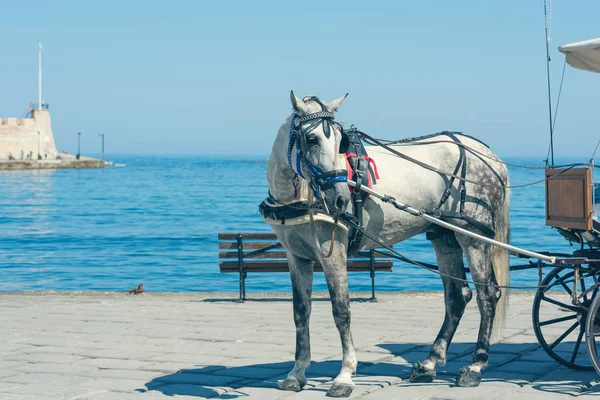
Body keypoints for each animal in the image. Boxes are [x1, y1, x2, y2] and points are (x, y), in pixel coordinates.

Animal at [262, 93, 506, 396]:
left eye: (339, 141)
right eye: (311, 138)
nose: (341, 199)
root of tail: (490, 157)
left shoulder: (333, 253)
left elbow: (341, 310)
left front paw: (344, 376)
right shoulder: (296, 256)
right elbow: (300, 313)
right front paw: (297, 373)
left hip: (473, 236)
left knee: (487, 295)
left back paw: (475, 367)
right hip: (445, 236)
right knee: (457, 296)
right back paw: (430, 363)